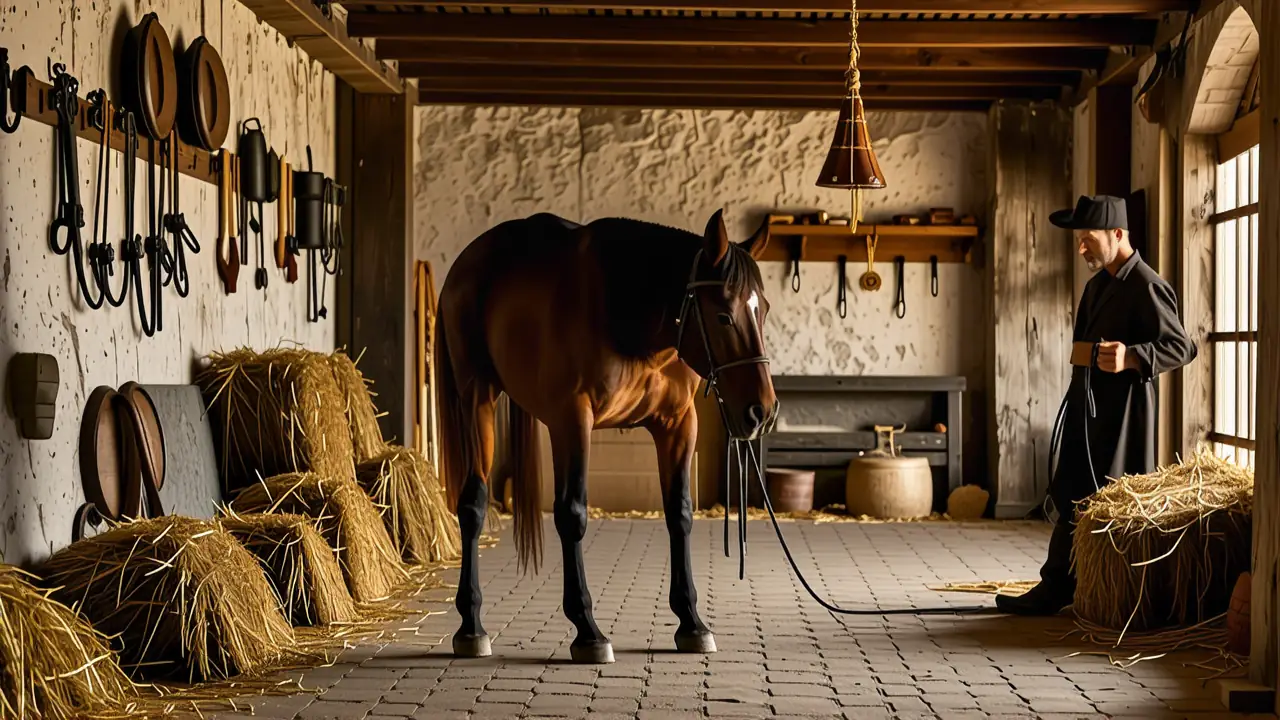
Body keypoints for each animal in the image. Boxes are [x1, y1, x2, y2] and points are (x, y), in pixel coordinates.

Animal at [434, 209, 779, 663]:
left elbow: (680, 514)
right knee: (472, 505)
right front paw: (588, 630)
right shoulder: (573, 418)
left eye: (764, 310)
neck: (626, 305)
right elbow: (573, 514)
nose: (762, 411)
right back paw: (471, 627)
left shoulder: (677, 424)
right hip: (479, 401)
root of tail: (465, 264)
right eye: (724, 314)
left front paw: (691, 621)